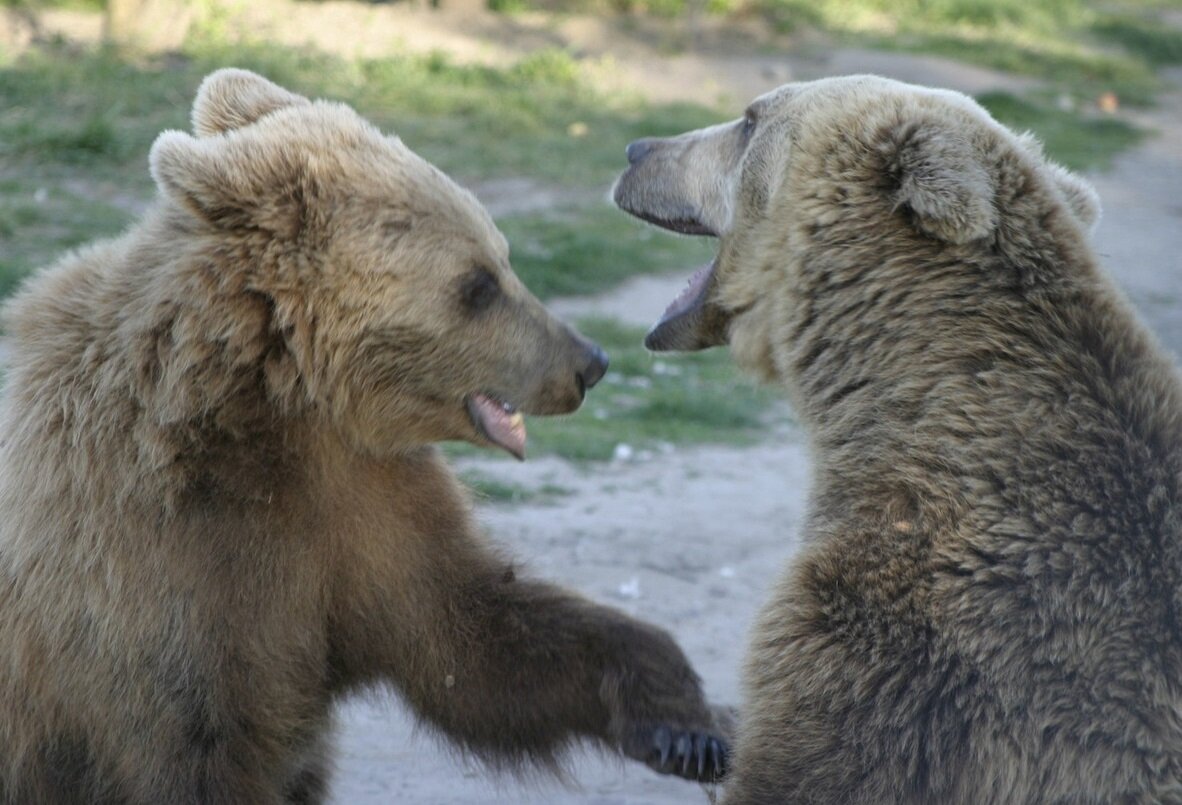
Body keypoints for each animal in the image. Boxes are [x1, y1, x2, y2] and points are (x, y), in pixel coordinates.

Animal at [0, 70, 728, 803]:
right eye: (478, 285)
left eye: (503, 260)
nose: (588, 362)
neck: (279, 409)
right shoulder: (152, 563)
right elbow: (199, 738)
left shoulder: (366, 502)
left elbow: (475, 641)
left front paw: (688, 723)